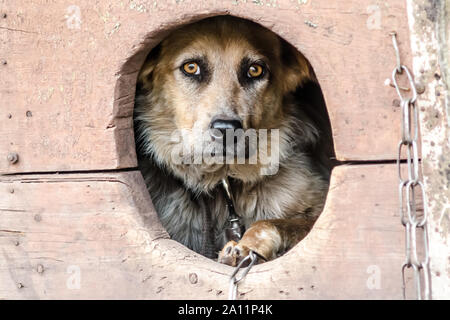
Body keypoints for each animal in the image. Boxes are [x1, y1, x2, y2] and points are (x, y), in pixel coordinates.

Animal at [134, 15, 334, 266]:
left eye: (255, 70)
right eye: (191, 67)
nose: (226, 129)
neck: (224, 183)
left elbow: (272, 223)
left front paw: (245, 247)